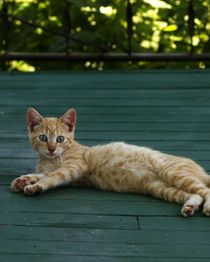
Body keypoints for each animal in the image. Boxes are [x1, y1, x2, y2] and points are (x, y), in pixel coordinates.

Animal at [10, 107, 210, 216]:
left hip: (173, 173)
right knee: (195, 194)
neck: (50, 159)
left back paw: (206, 207)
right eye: (43, 138)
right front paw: (23, 180)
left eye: (60, 139)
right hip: (161, 188)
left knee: (205, 191)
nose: (51, 149)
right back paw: (190, 207)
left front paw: (36, 186)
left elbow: (51, 177)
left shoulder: (74, 166)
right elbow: (41, 173)